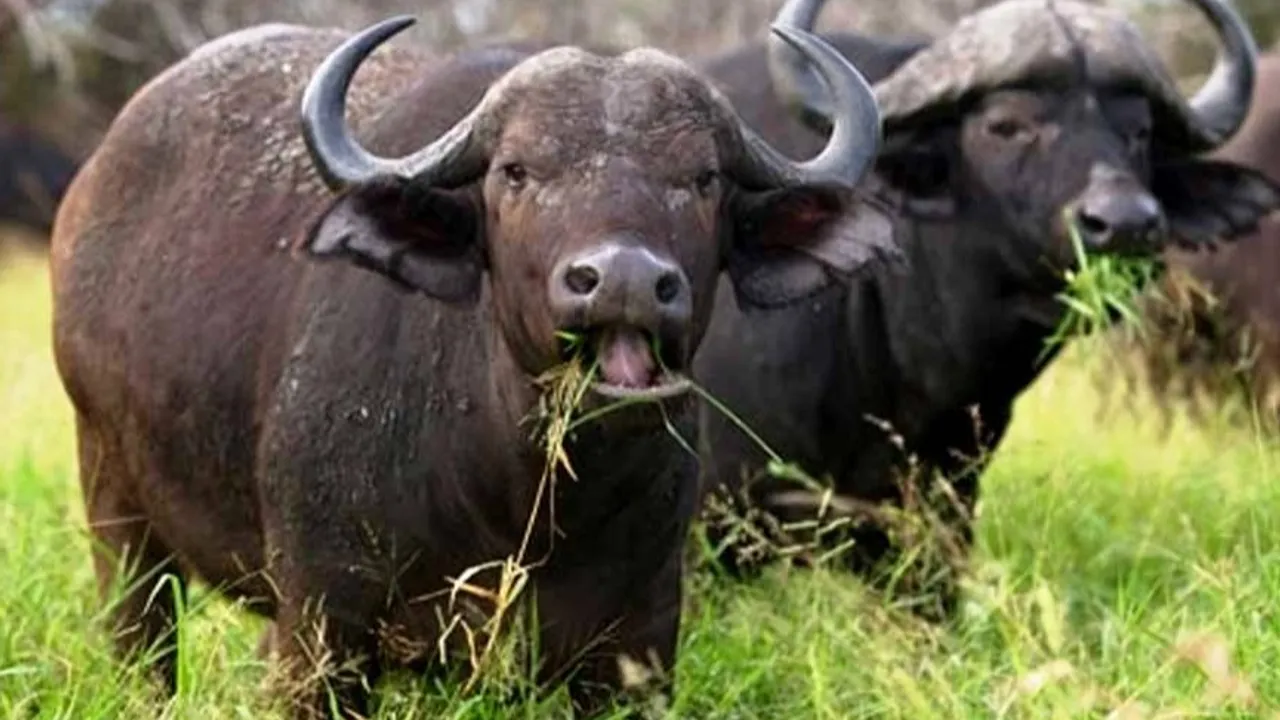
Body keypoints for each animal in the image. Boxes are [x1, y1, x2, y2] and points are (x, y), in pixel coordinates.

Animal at [49, 15, 892, 719]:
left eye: (704, 177)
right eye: (515, 171)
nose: (621, 278)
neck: (521, 502)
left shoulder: (640, 646)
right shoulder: (323, 629)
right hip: (115, 508)